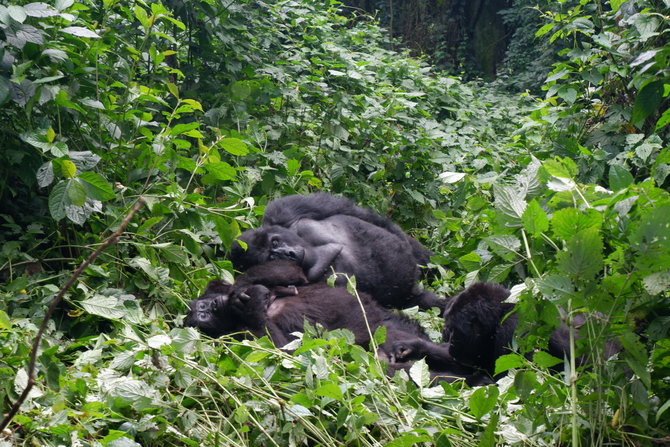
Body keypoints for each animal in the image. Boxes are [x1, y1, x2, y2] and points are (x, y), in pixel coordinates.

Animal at [186, 260, 486, 386]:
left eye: (203, 308)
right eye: (202, 318)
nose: (204, 310)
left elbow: (286, 270)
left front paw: (245, 291)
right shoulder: (240, 339)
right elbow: (287, 356)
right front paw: (252, 304)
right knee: (398, 372)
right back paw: (472, 379)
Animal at [228, 192, 444, 312]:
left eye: (275, 242)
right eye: (271, 256)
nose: (288, 253)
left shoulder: (283, 210)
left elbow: (359, 213)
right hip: (407, 298)